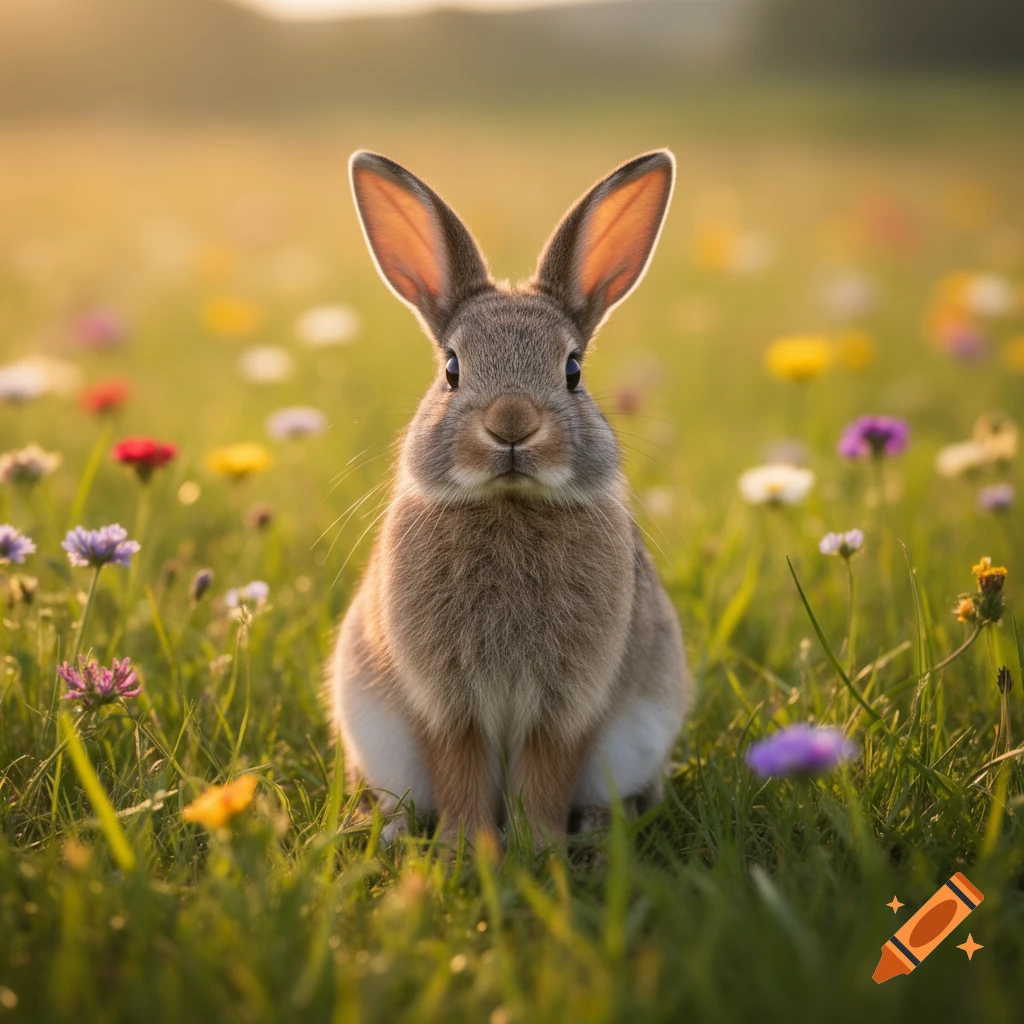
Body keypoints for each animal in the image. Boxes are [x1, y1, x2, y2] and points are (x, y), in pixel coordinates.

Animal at [328, 148, 689, 850]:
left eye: (572, 371)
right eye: (451, 368)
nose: (512, 423)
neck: (509, 503)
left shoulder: (567, 706)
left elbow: (546, 775)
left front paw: (537, 849)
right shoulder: (445, 704)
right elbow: (460, 771)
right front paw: (465, 848)